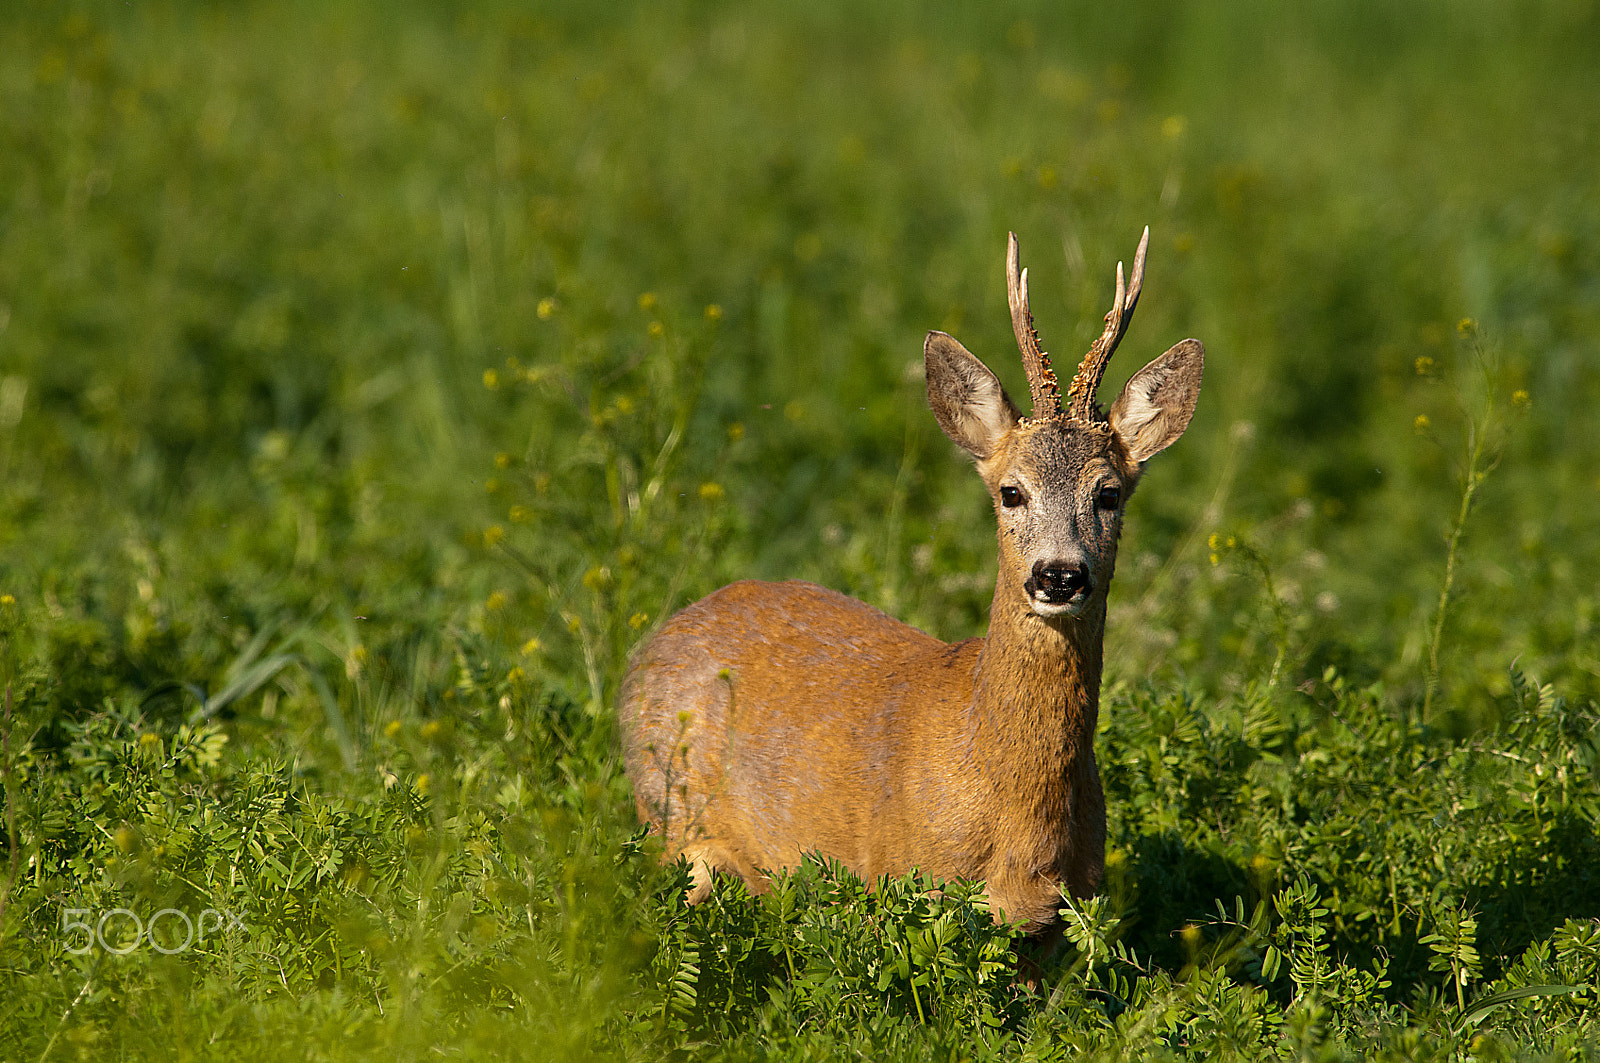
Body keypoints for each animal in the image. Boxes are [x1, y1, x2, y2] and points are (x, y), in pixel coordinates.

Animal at [620, 225, 1203, 928]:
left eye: (1109, 493)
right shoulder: (902, 882)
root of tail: (654, 642)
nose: (1059, 575)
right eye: (1011, 492)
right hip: (671, 818)